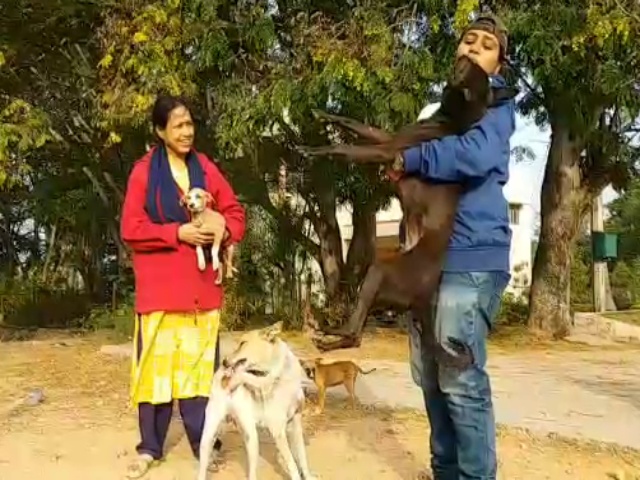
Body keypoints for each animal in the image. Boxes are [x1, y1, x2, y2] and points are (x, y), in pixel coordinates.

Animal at [195, 322, 316, 480]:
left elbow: (302, 457)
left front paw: (307, 475)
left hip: (250, 437)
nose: (224, 361)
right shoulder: (278, 430)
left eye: (242, 343)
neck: (280, 374)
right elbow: (292, 464)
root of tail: (220, 374)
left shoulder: (296, 423)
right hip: (212, 434)